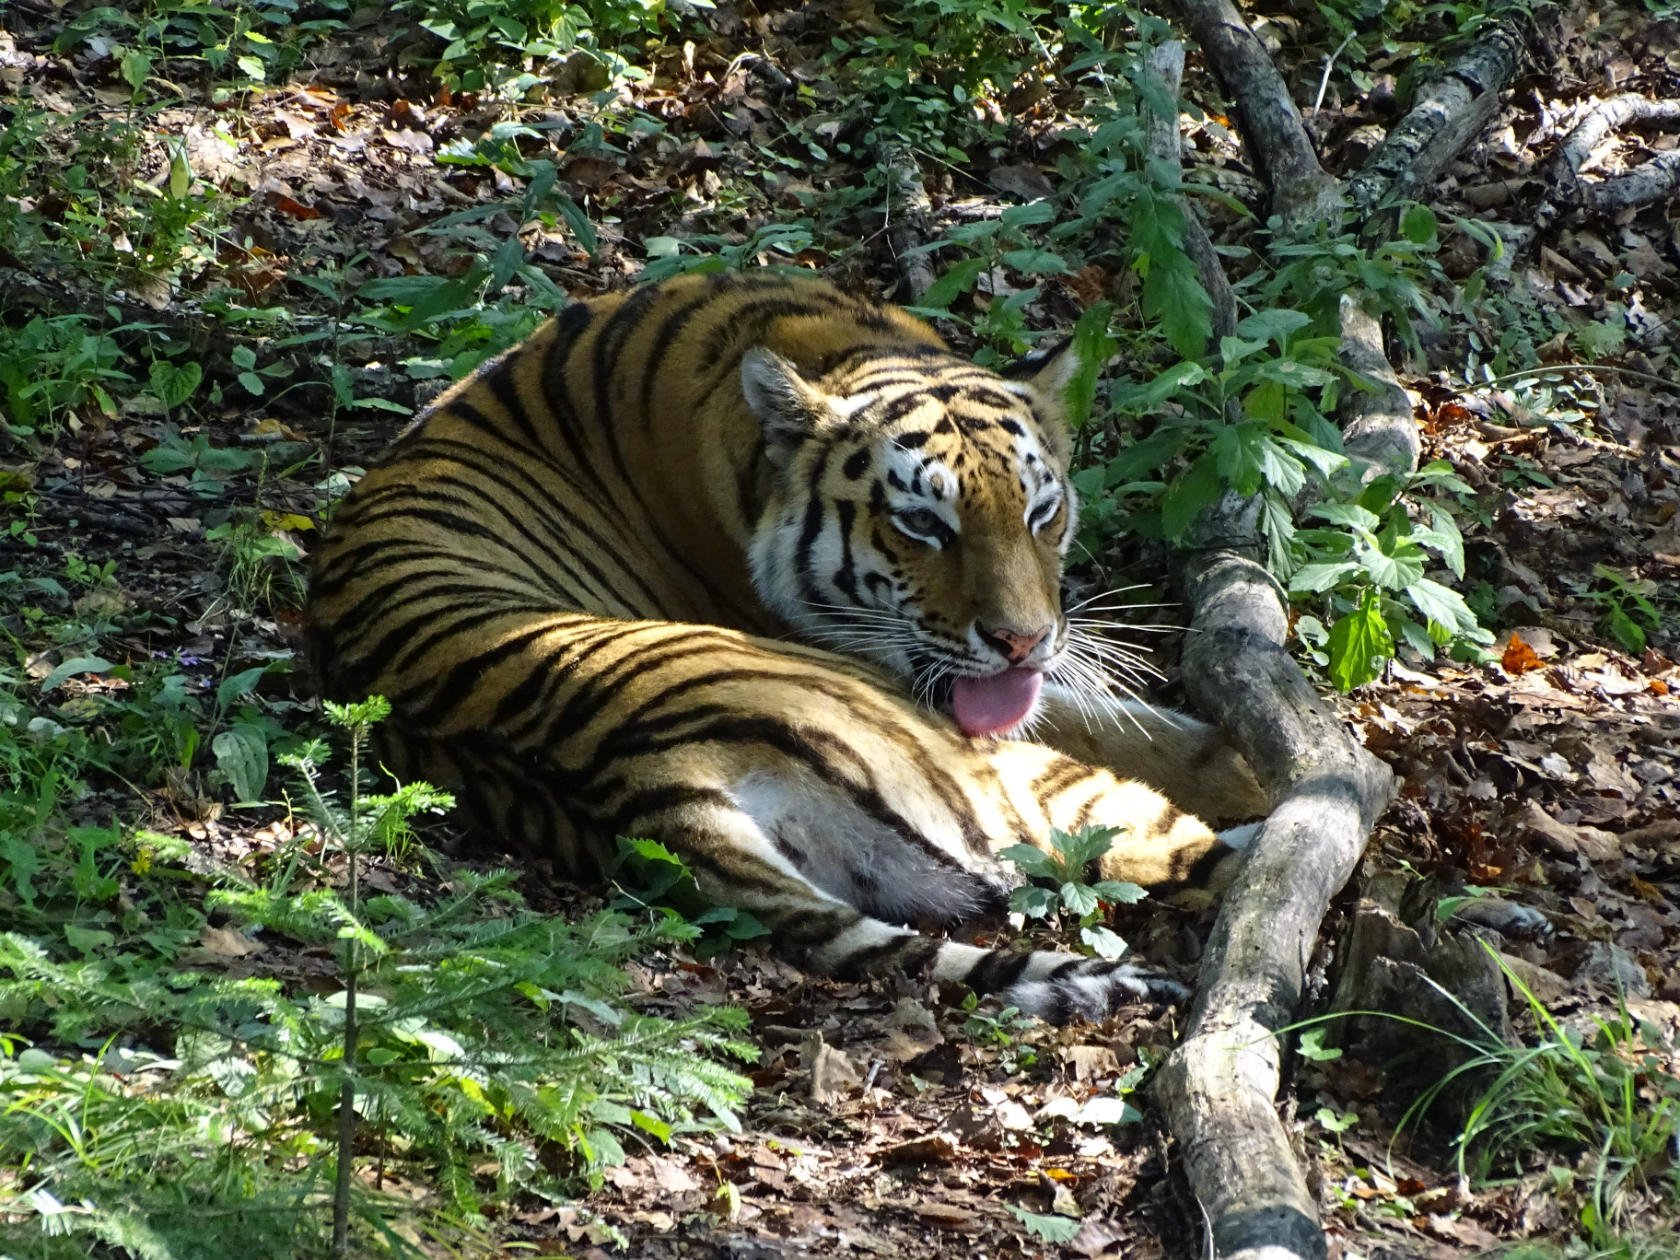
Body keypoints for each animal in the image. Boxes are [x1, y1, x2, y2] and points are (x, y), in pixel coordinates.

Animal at [309, 272, 1263, 1021]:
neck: (845, 345)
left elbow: (1136, 717)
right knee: (1196, 859)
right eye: (923, 524)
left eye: (1041, 511)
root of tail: (645, 781)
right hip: (1003, 779)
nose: (1021, 640)